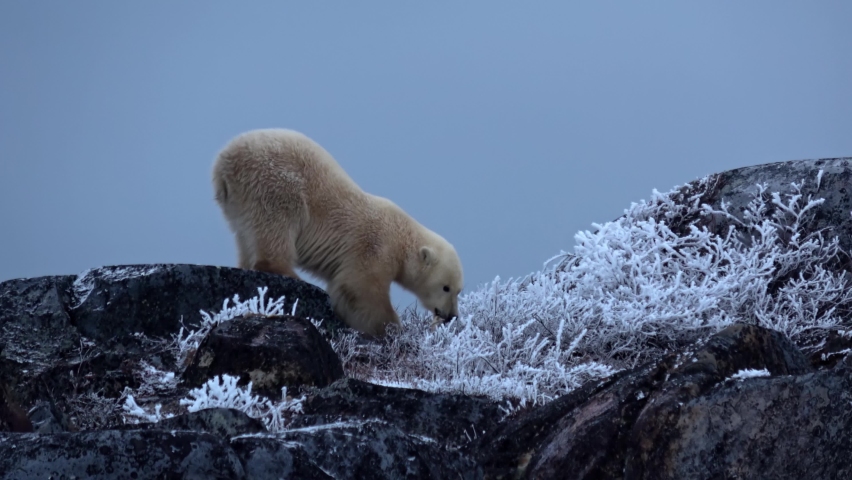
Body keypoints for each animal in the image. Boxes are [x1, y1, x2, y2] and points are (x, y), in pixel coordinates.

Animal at [212, 129, 464, 336]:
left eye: (458, 291)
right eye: (446, 287)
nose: (450, 316)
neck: (402, 236)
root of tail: (224, 163)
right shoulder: (375, 246)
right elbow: (360, 289)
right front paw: (392, 329)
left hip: (238, 202)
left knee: (246, 236)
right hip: (275, 183)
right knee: (276, 225)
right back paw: (290, 273)